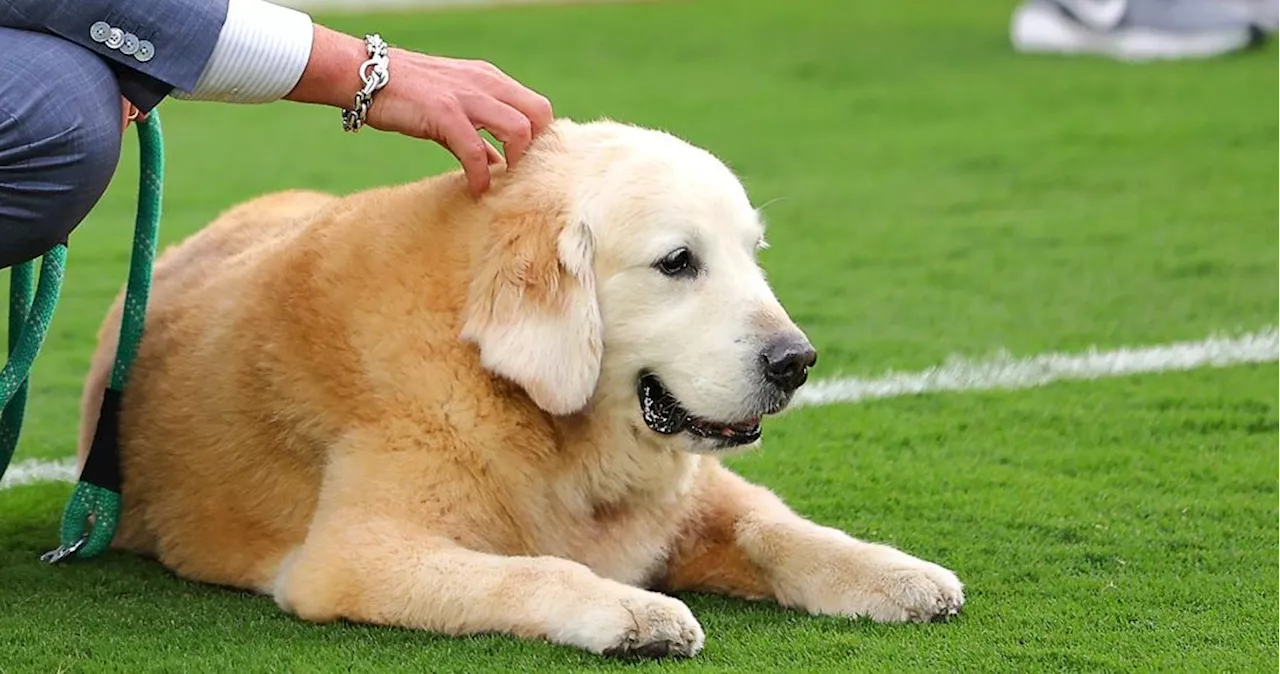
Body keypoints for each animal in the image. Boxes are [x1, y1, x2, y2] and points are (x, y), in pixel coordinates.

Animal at [77, 120, 962, 659]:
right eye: (678, 262)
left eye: (754, 254)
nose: (797, 361)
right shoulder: (356, 554)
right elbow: (537, 571)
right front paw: (634, 613)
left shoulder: (698, 498)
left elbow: (777, 530)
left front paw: (893, 575)